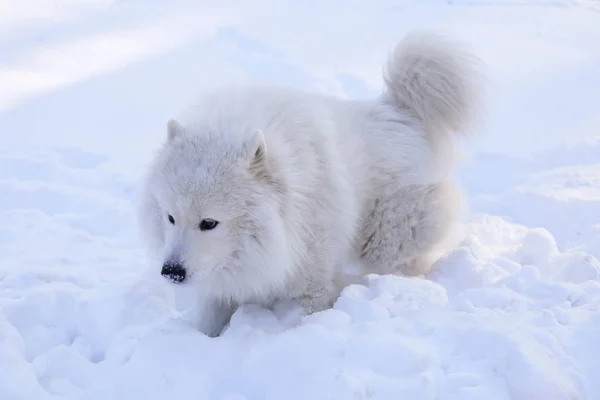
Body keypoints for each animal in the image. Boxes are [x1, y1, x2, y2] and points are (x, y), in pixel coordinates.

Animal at [137, 32, 482, 338]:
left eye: (209, 223)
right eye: (170, 217)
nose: (171, 272)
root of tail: (398, 111)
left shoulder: (312, 278)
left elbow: (312, 311)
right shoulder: (219, 283)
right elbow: (209, 321)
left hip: (389, 239)